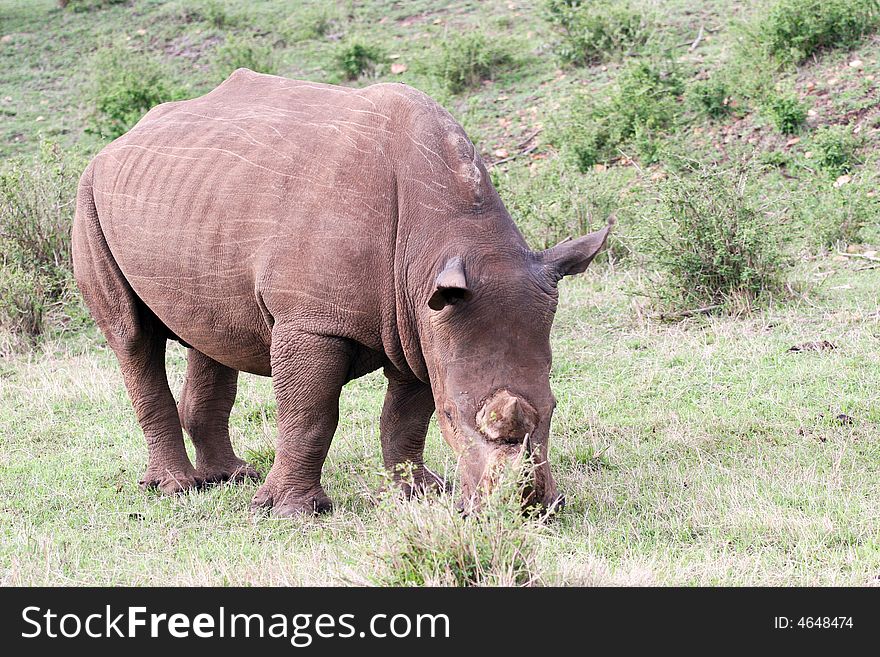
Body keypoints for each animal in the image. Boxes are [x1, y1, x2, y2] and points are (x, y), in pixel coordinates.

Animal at [74, 69, 612, 516]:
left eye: (555, 407)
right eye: (455, 417)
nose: (532, 511)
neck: (445, 237)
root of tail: (122, 139)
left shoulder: (420, 318)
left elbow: (405, 417)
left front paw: (417, 493)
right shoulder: (318, 320)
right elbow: (310, 414)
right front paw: (289, 512)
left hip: (194, 201)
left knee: (211, 330)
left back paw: (231, 477)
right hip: (89, 196)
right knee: (132, 336)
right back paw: (177, 488)